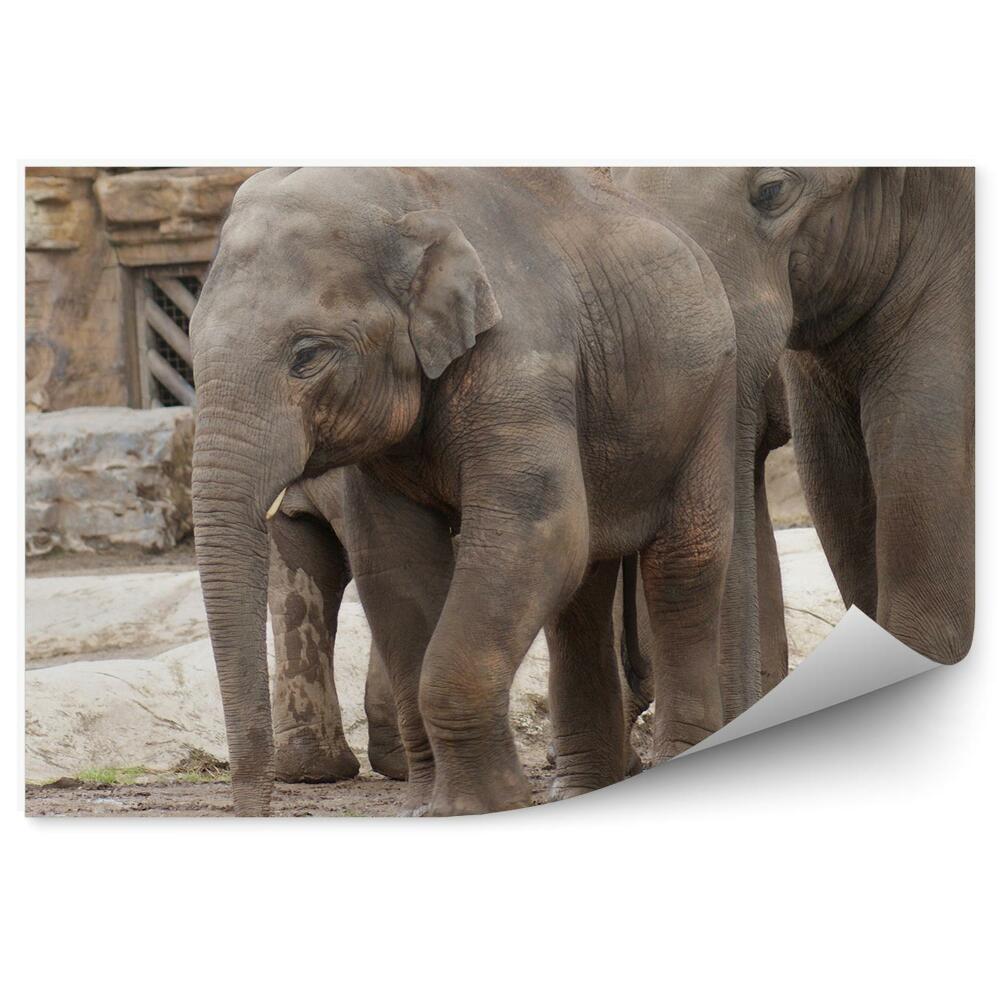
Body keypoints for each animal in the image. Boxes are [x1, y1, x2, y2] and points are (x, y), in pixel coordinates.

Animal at [190, 166, 739, 816]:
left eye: (306, 355)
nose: (257, 808)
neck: (400, 199)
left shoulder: (522, 360)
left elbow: (534, 533)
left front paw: (480, 806)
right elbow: (393, 559)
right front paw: (428, 809)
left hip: (709, 398)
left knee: (681, 568)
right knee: (580, 591)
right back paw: (580, 790)